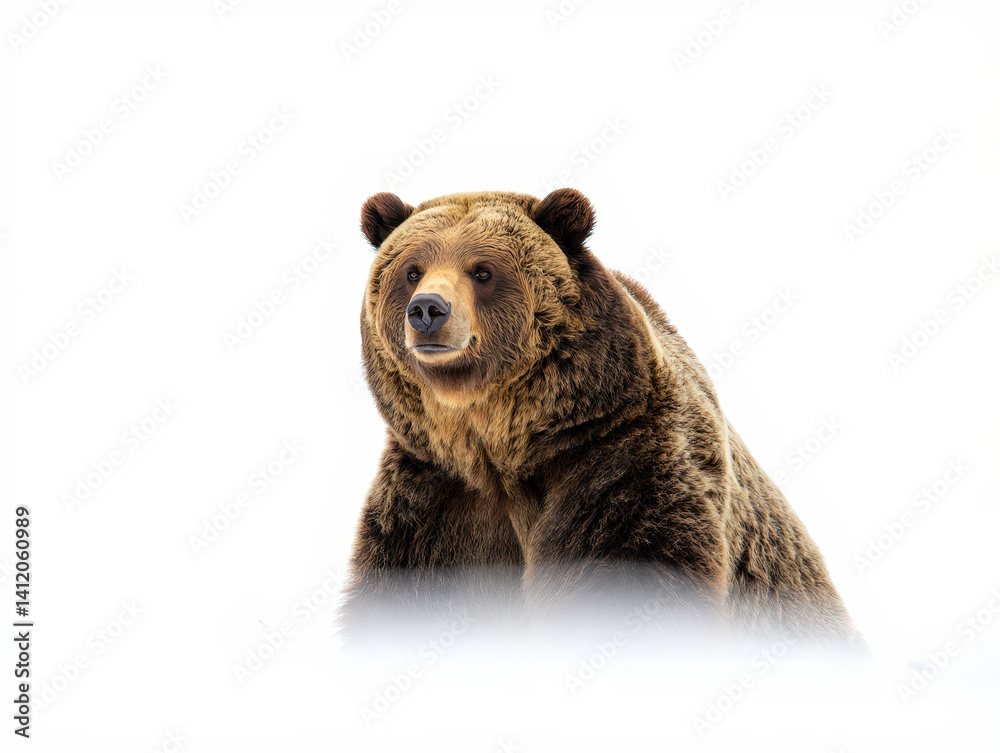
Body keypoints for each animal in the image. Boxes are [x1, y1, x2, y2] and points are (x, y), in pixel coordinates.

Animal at [341, 187, 860, 648]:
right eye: (412, 270)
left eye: (483, 270)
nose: (428, 310)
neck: (501, 447)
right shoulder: (436, 494)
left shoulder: (618, 457)